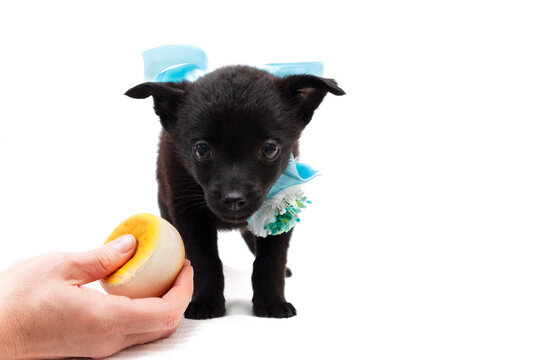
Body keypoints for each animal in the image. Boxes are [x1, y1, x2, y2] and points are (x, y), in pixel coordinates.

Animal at [126, 66, 344, 320]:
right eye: (201, 150)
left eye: (270, 149)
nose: (233, 199)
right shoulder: (188, 211)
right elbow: (205, 260)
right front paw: (204, 302)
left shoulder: (279, 210)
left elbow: (270, 261)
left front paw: (273, 302)